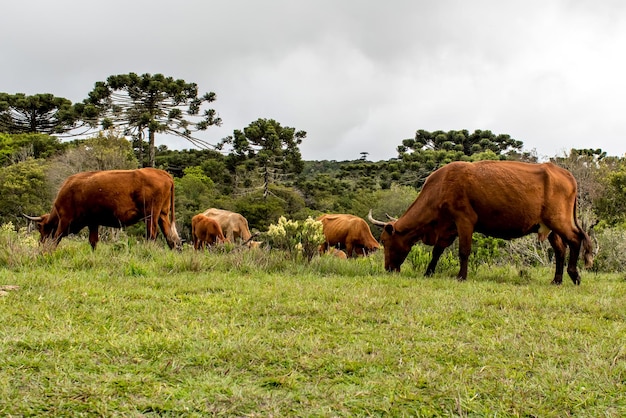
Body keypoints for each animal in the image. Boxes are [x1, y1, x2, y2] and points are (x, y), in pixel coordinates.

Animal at [24, 167, 180, 251]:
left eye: (40, 227)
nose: (40, 243)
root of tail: (165, 174)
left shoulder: (65, 220)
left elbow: (56, 238)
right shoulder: (93, 222)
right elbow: (93, 241)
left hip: (151, 216)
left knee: (152, 235)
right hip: (162, 215)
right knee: (171, 238)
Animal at [368, 159, 592, 284]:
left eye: (385, 241)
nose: (388, 268)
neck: (441, 186)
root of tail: (564, 173)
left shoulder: (464, 220)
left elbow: (464, 251)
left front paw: (461, 276)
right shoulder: (448, 227)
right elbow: (437, 250)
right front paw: (428, 272)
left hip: (559, 220)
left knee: (575, 239)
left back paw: (574, 274)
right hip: (550, 227)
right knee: (560, 249)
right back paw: (557, 280)